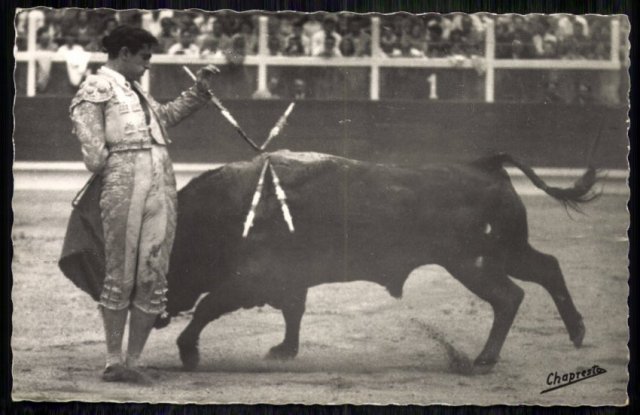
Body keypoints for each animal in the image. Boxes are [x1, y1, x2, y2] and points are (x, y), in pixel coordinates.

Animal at [149, 150, 596, 373]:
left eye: (167, 263)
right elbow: (294, 311)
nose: (155, 316)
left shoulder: (250, 280)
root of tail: (485, 166)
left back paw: (484, 359)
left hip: (475, 263)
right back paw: (576, 331)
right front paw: (284, 350)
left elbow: (208, 307)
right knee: (548, 268)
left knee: (508, 297)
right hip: (507, 252)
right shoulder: (289, 281)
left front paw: (188, 352)